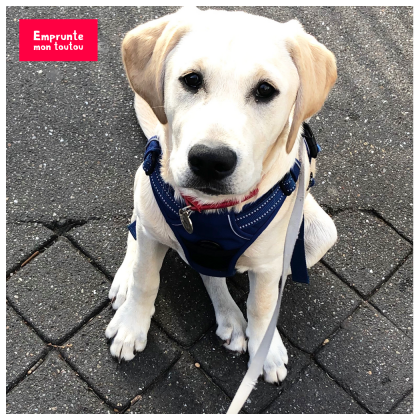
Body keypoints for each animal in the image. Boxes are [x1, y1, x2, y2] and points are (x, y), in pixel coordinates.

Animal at [106, 6, 338, 386]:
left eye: (265, 90)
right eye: (191, 80)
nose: (210, 161)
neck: (212, 212)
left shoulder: (270, 263)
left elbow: (262, 305)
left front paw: (265, 349)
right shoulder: (153, 222)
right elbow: (146, 279)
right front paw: (132, 324)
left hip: (318, 234)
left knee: (214, 271)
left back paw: (233, 319)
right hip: (145, 193)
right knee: (139, 234)